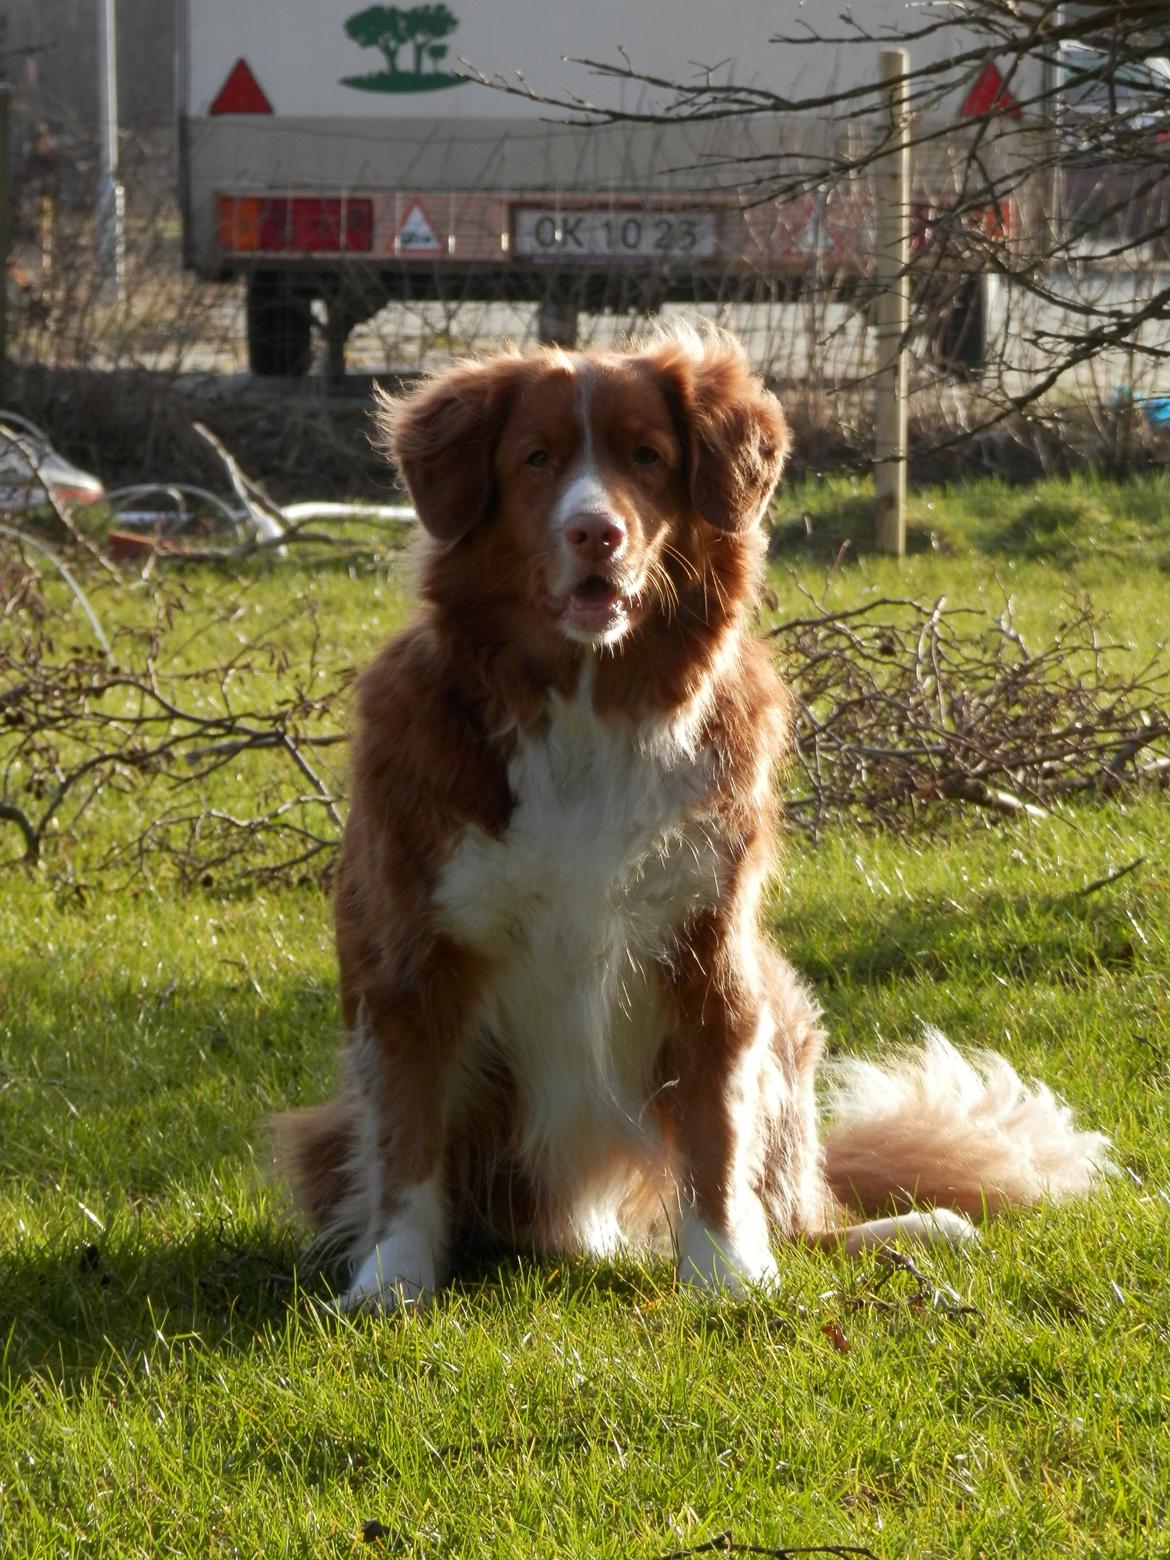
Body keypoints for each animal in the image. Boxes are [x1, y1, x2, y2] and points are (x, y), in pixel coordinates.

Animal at [277, 329, 1116, 1316]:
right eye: (535, 459)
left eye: (647, 456)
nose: (595, 531)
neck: (589, 711)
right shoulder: (412, 964)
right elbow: (406, 1142)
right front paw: (391, 1282)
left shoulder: (709, 950)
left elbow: (718, 1137)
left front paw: (728, 1276)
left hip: (784, 1018)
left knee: (805, 1210)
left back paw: (900, 1231)